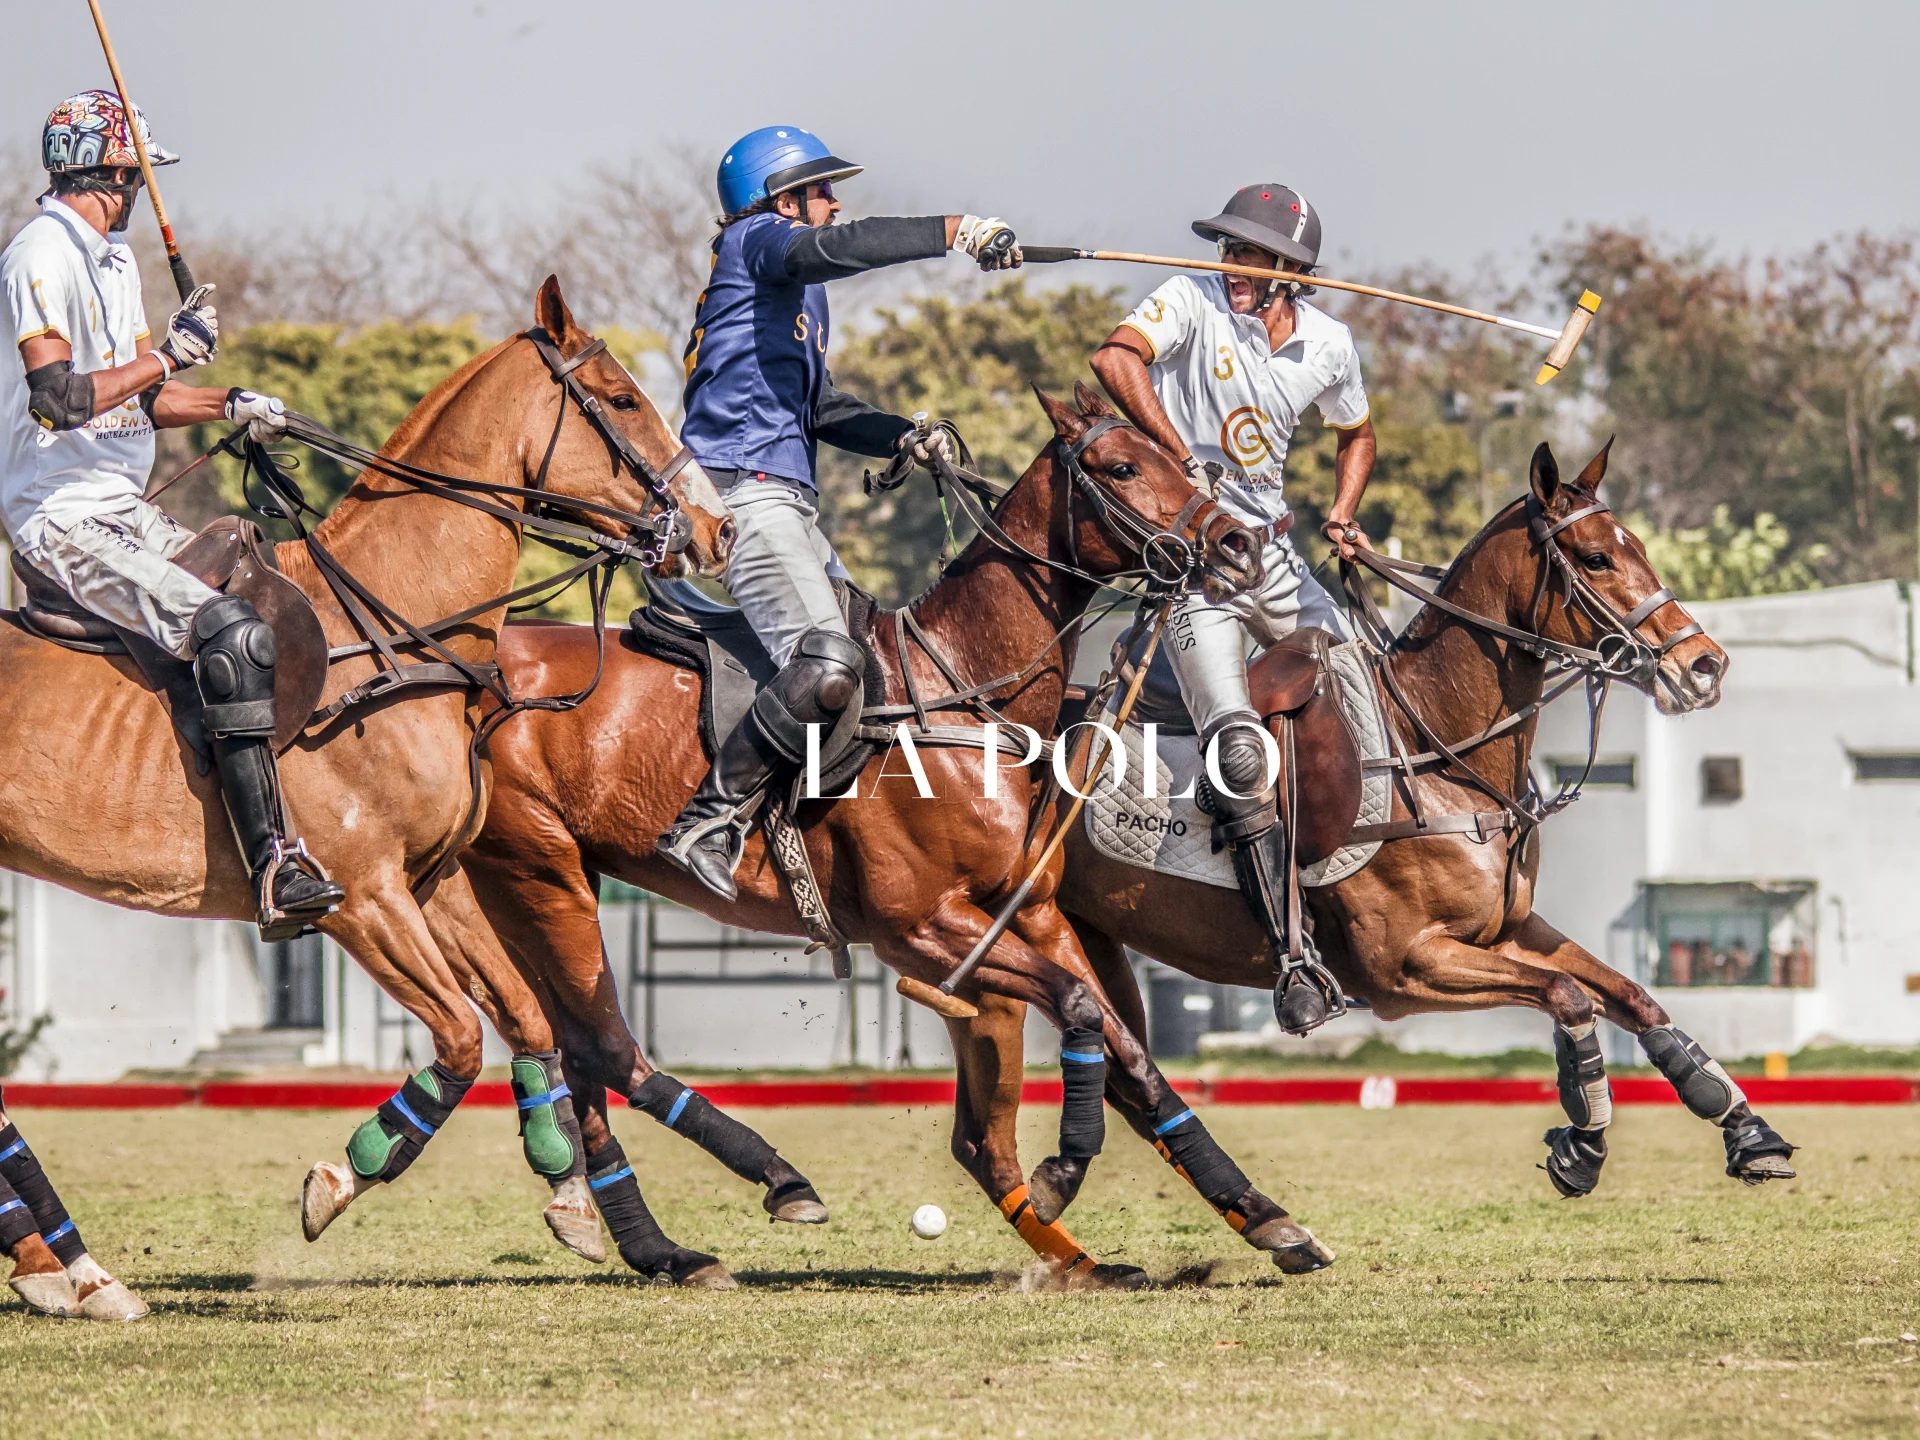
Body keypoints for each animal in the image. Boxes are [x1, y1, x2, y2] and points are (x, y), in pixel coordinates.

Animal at [0, 272, 733, 1320]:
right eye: (624, 400)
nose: (716, 530)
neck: (397, 629)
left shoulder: (433, 882)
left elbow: (526, 1017)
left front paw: (567, 1196)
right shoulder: (361, 898)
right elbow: (461, 1040)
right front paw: (344, 1175)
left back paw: (63, 1269)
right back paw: (80, 1270)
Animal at [456, 389, 1344, 1290]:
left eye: (1180, 460)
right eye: (1123, 466)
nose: (1237, 544)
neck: (963, 691)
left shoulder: (1027, 912)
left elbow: (1127, 1051)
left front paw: (1268, 1219)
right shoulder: (919, 928)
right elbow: (1079, 1008)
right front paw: (1063, 1171)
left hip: (536, 881)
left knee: (577, 1046)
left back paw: (660, 1246)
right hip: (541, 872)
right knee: (601, 1045)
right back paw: (763, 1188)